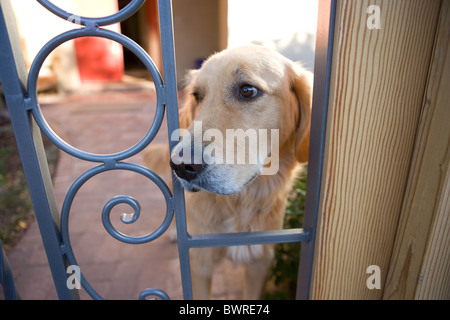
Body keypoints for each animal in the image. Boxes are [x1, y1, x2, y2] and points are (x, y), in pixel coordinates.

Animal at [144, 45, 312, 300]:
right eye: (197, 95)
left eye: (248, 91)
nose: (182, 166)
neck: (239, 204)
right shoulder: (199, 263)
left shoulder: (258, 264)